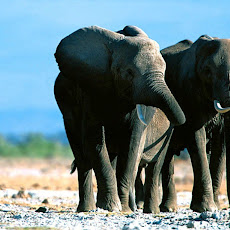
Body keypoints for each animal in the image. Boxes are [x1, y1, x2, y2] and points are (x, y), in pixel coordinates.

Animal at [54, 25, 185, 212]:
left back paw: (149, 210)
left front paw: (123, 209)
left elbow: (131, 145)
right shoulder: (90, 91)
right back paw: (86, 209)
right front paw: (111, 207)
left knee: (153, 166)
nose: (181, 121)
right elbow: (95, 141)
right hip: (67, 112)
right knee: (82, 157)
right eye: (129, 72)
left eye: (164, 72)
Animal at [156, 34, 230, 212]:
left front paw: (212, 207)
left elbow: (221, 145)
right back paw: (168, 208)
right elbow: (197, 136)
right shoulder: (190, 93)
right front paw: (207, 208)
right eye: (208, 72)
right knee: (167, 156)